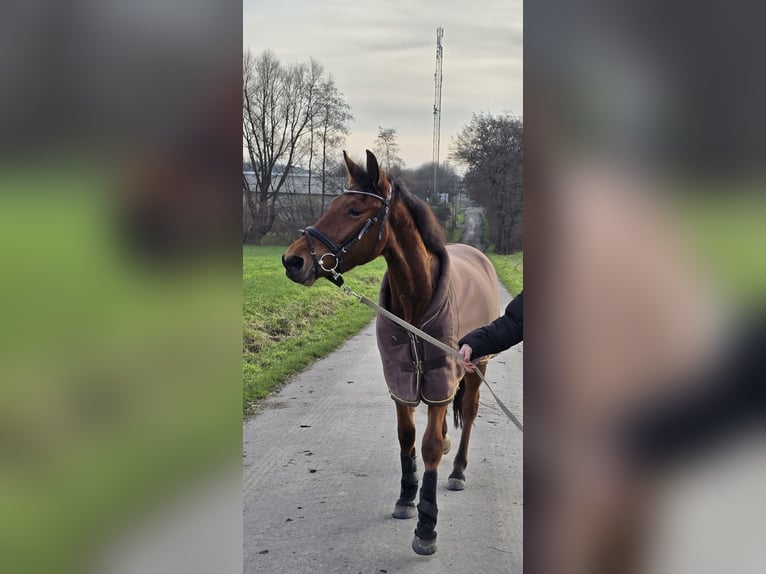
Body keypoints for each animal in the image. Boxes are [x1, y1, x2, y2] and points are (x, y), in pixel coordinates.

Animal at [282, 150, 500, 555]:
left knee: (469, 414)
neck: (418, 299)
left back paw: (458, 470)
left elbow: (429, 446)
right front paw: (406, 498)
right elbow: (407, 437)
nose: (293, 260)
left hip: (475, 369)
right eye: (332, 203)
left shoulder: (440, 376)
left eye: (354, 210)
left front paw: (426, 525)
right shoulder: (402, 380)